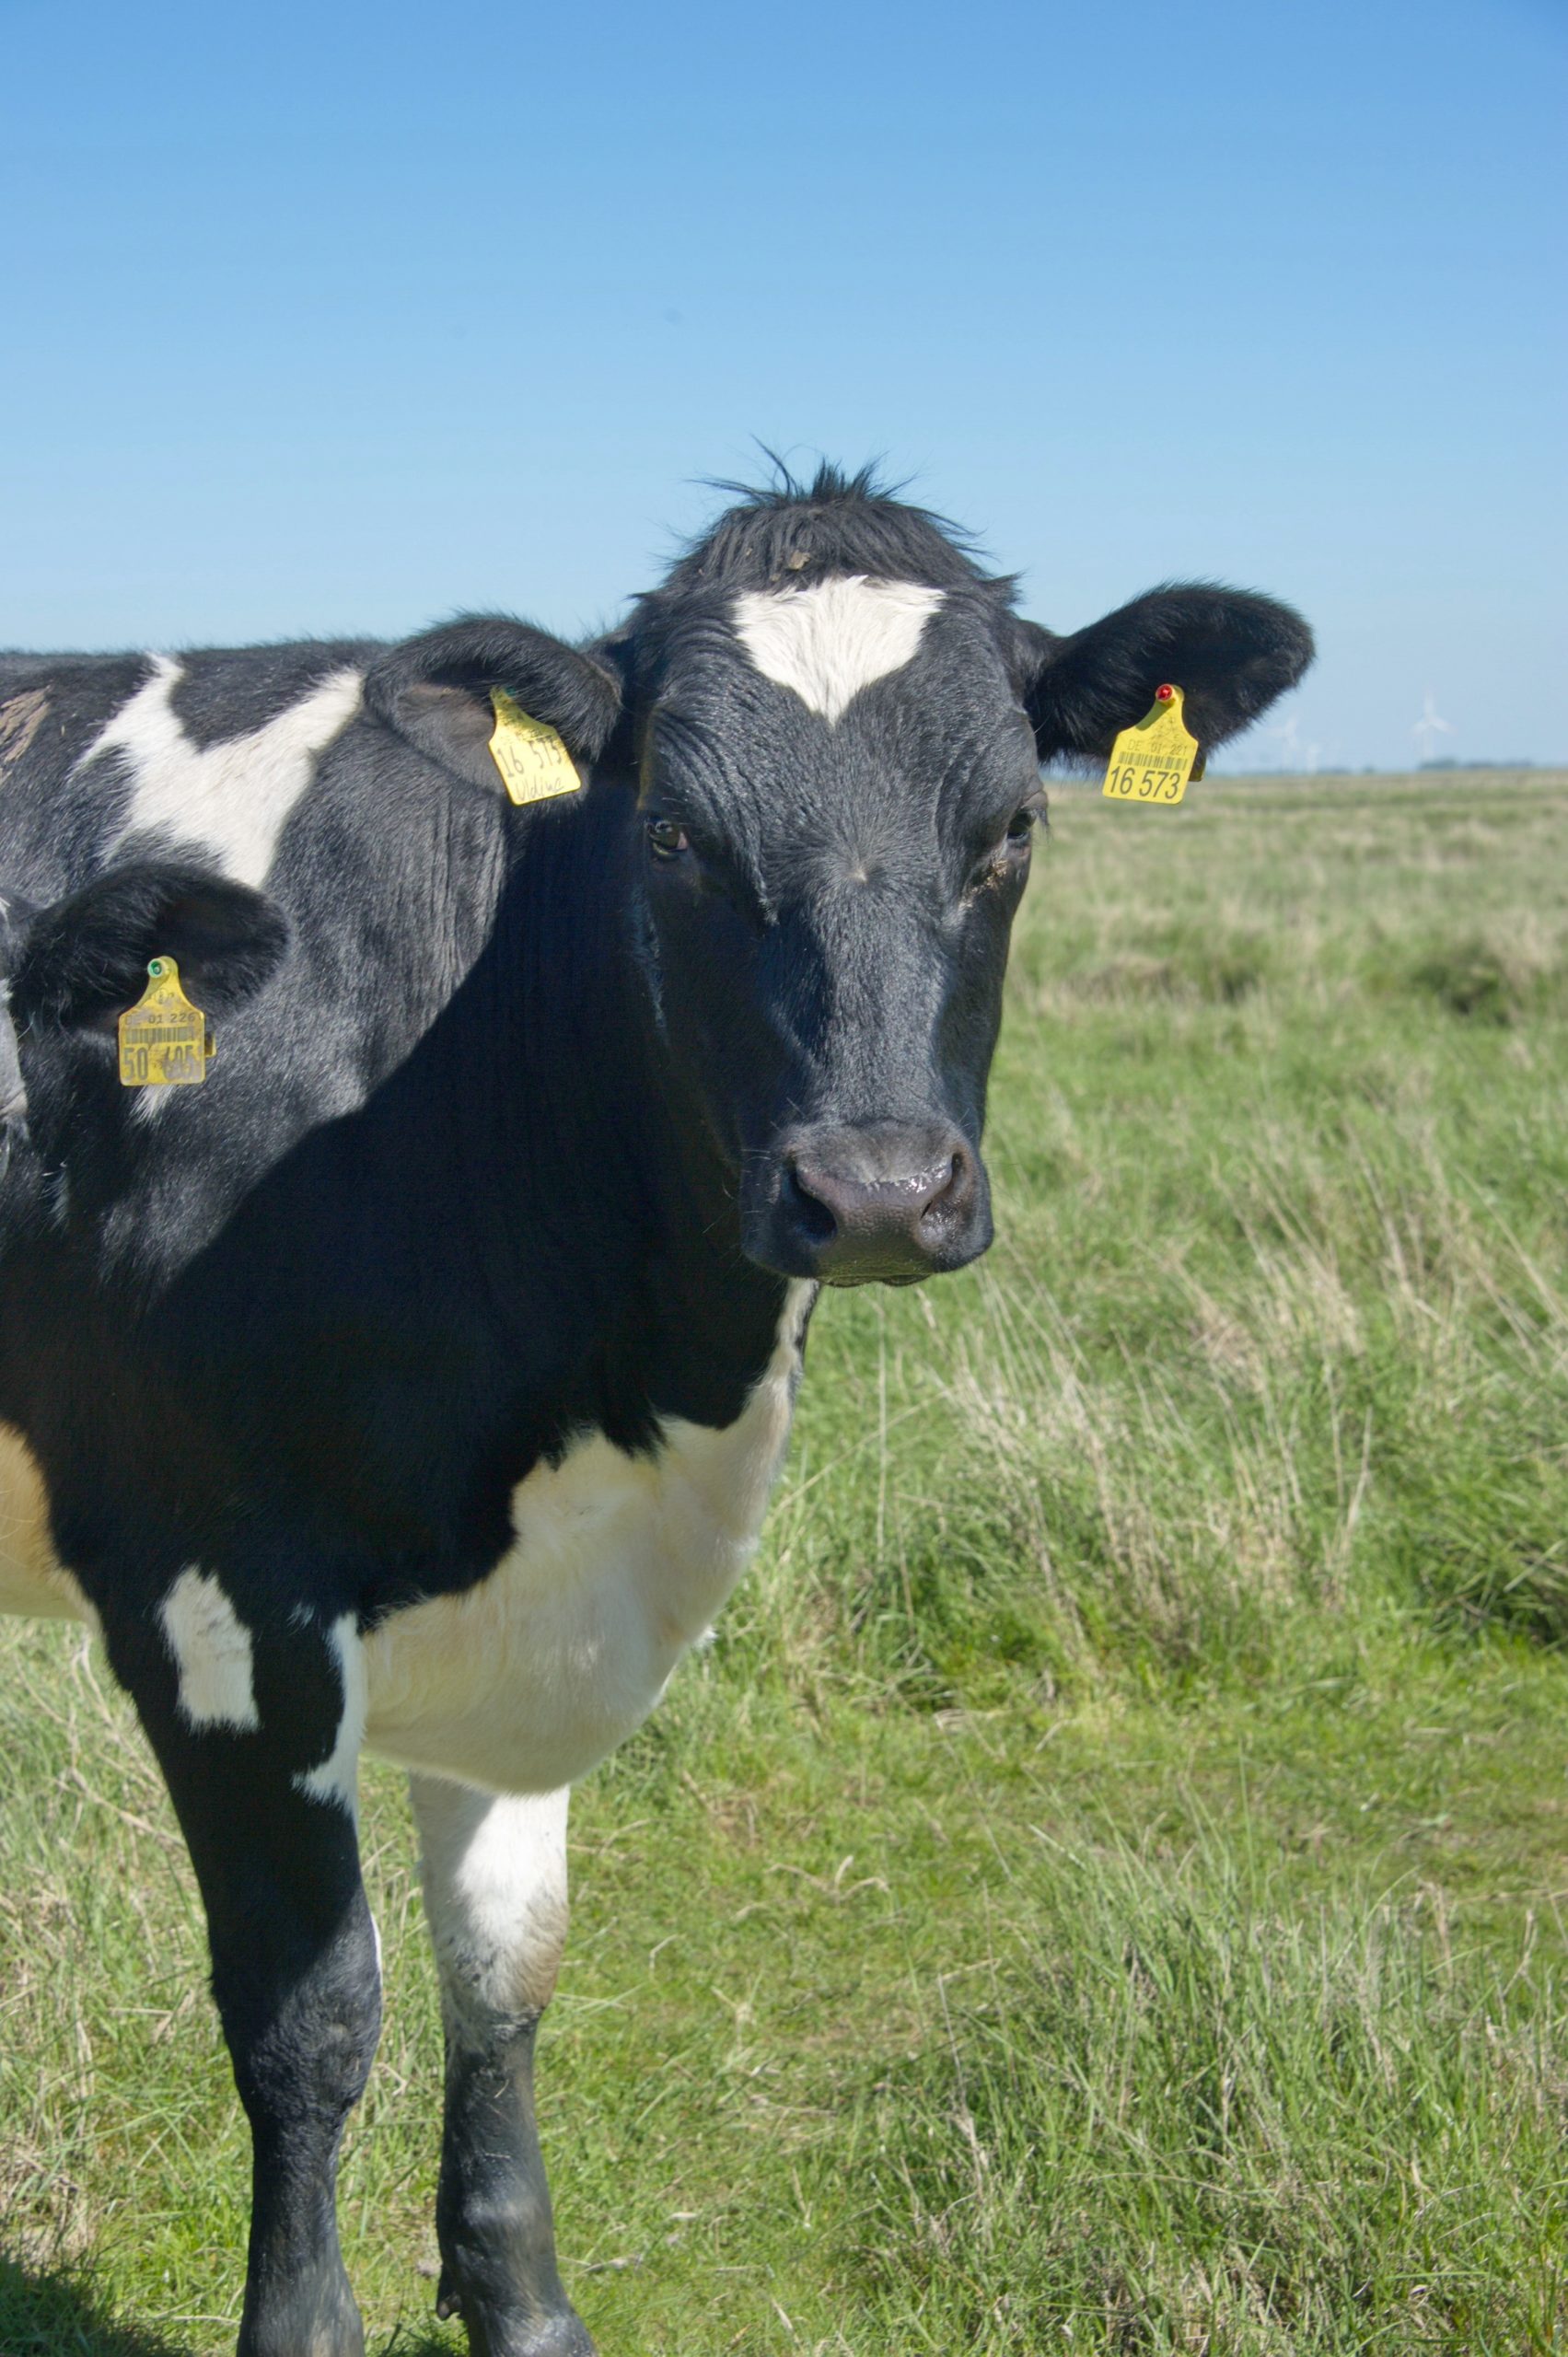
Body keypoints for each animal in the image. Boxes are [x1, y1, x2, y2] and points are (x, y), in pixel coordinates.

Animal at [0, 464, 1310, 2357]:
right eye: (675, 835)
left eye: (1010, 826)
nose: (874, 1189)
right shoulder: (216, 1598)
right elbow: (310, 2020)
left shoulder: (539, 1596)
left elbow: (506, 1970)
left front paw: (520, 2300)